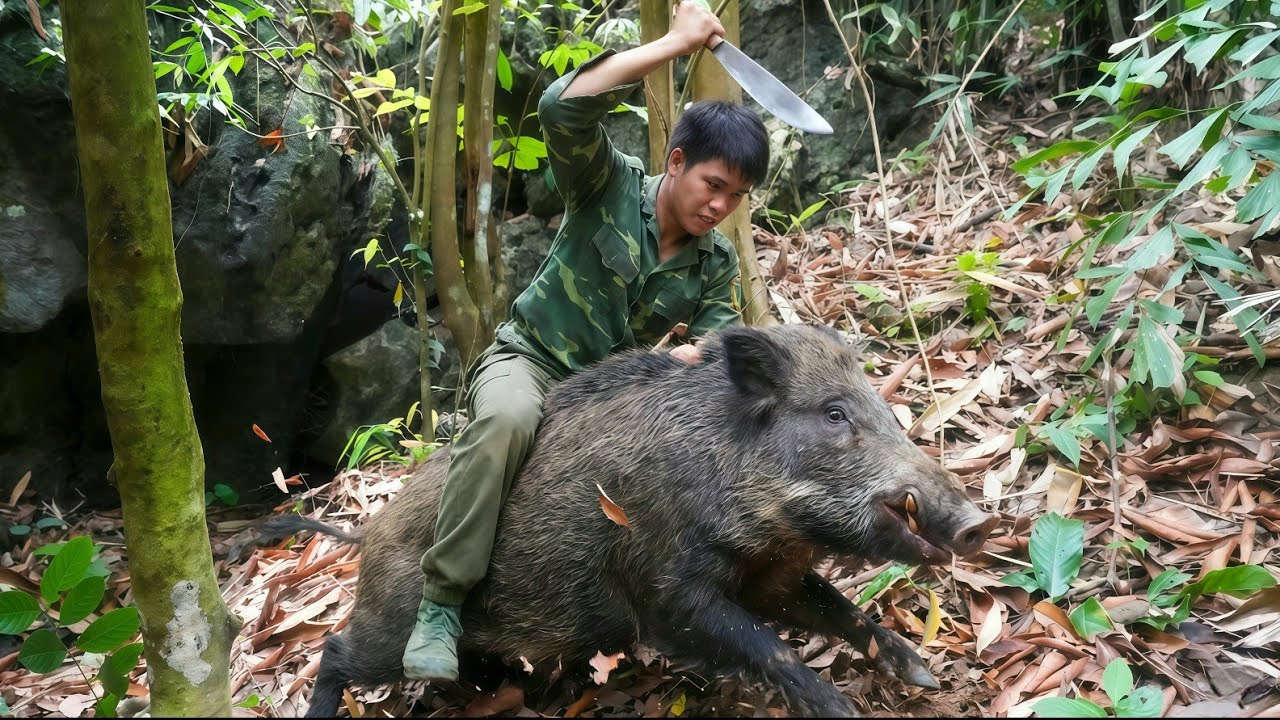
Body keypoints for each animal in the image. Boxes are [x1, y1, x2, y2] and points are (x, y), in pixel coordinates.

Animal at [264, 324, 996, 717]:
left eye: (878, 401)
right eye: (834, 414)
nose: (977, 523)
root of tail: (369, 531)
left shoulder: (770, 576)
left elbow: (840, 609)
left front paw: (923, 674)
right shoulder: (667, 592)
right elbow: (770, 647)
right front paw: (843, 706)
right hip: (391, 628)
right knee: (337, 651)